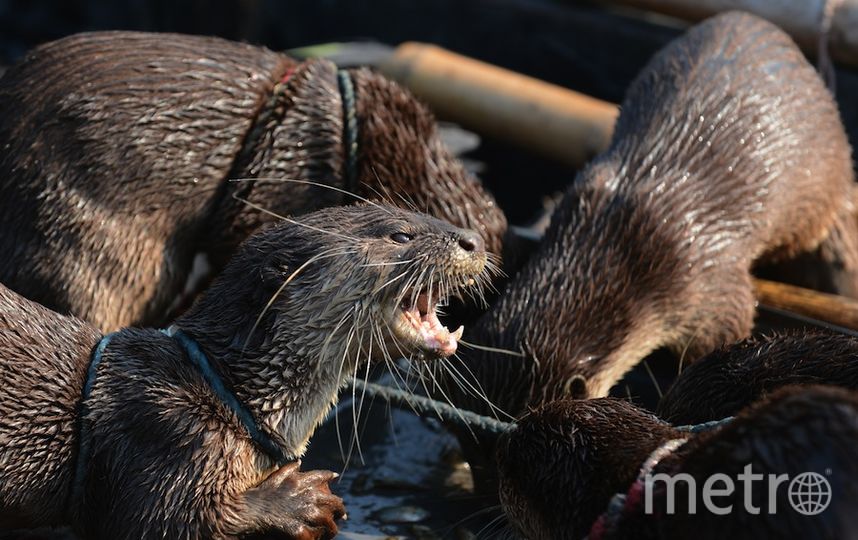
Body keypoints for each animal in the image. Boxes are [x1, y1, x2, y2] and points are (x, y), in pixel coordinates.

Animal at [0, 204, 484, 540]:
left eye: (418, 211)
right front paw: (298, 500)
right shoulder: (166, 433)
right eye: (401, 234)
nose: (475, 240)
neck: (222, 394)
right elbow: (162, 521)